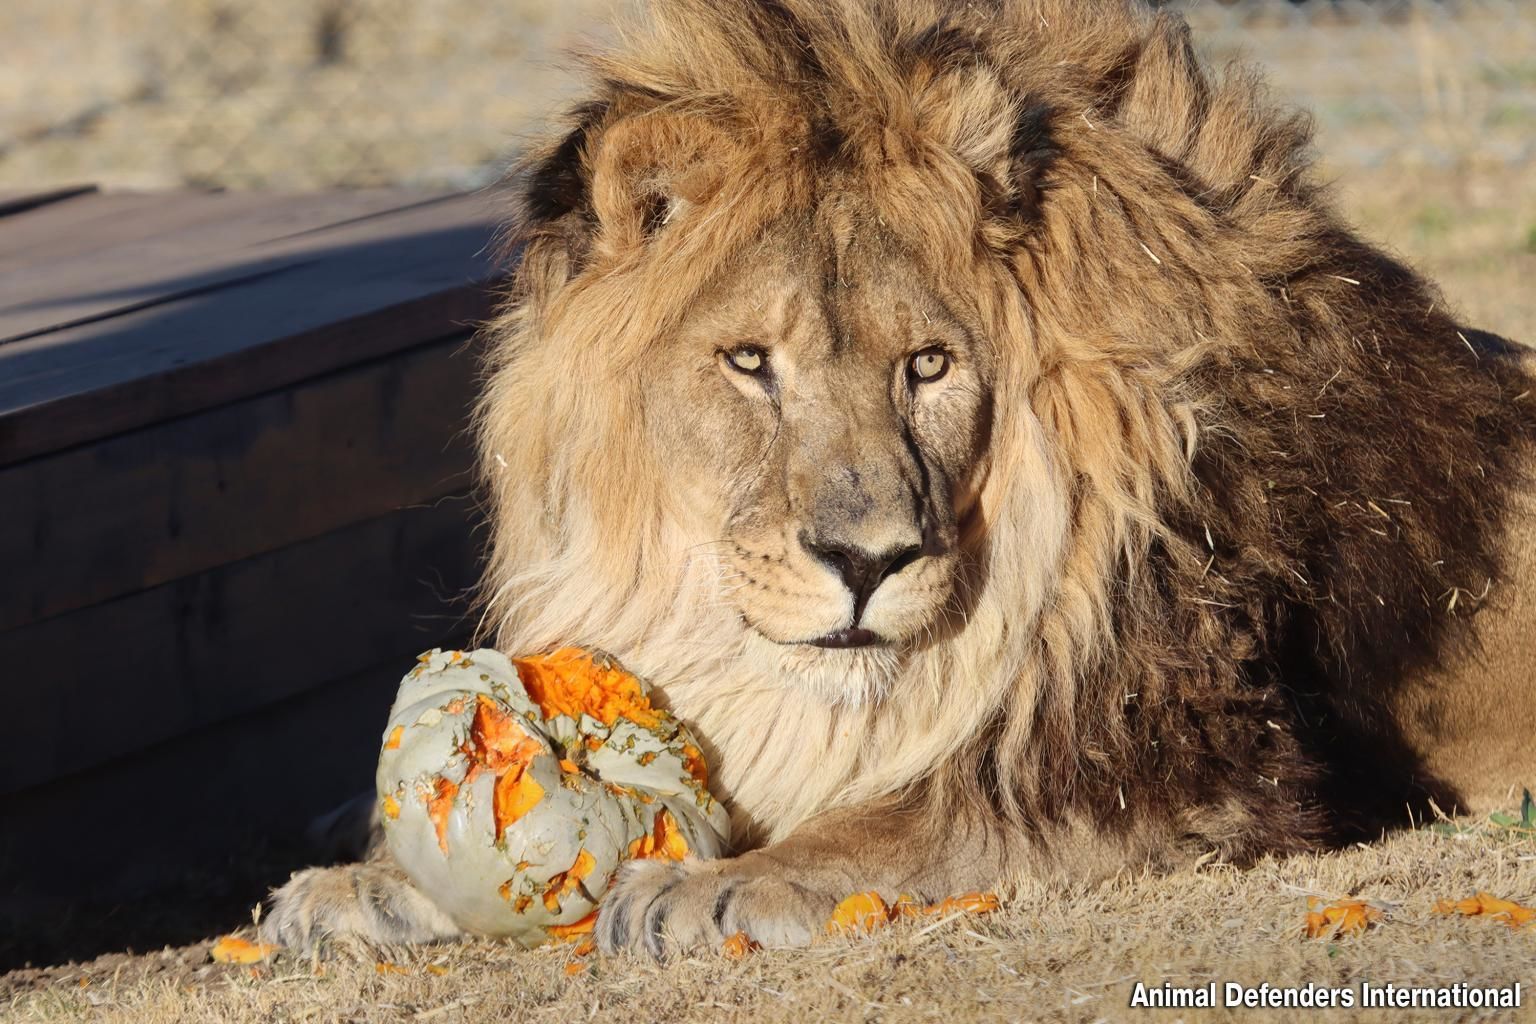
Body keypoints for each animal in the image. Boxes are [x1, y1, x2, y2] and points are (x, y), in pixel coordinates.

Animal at [258, 0, 1529, 964]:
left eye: (927, 365)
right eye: (749, 363)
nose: (866, 562)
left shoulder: (1191, 766)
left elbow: (916, 816)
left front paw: (712, 885)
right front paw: (363, 884)